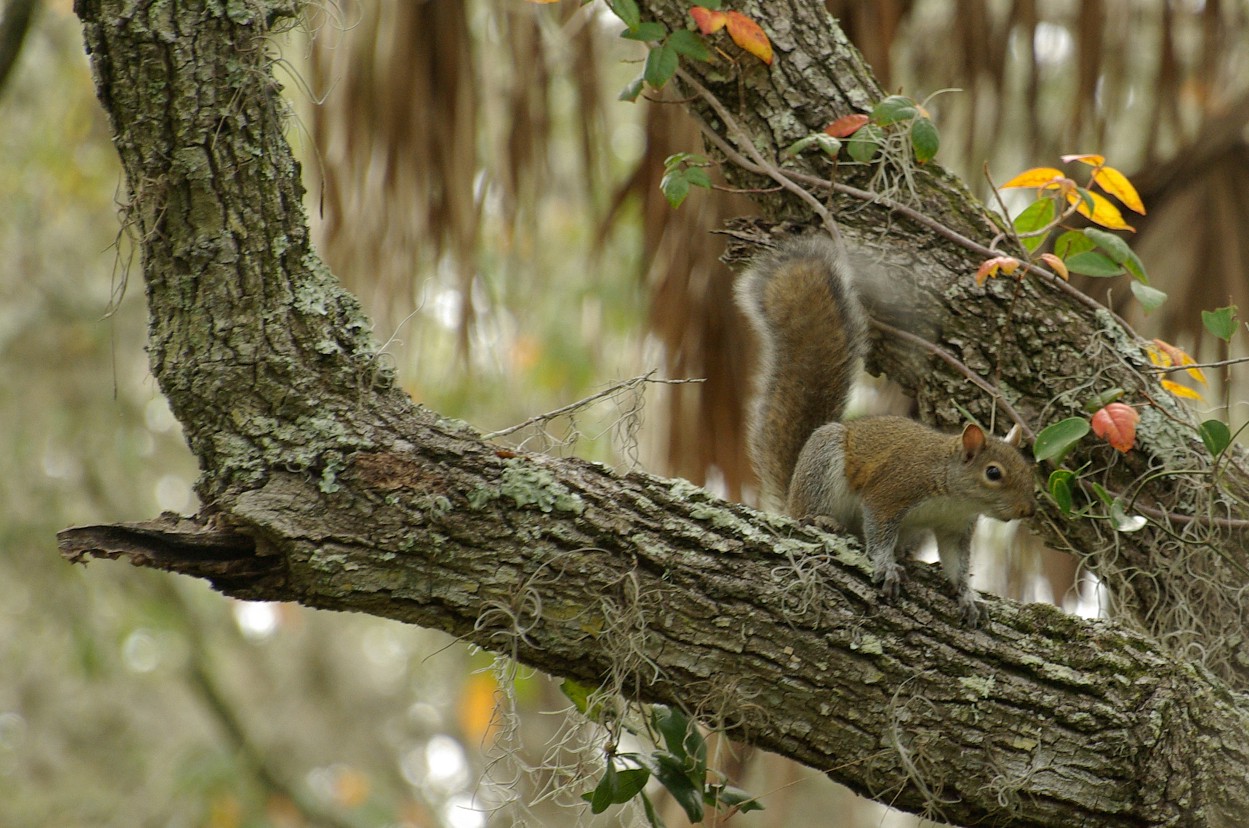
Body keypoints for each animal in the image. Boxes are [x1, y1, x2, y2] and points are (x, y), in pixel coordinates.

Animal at [735, 234, 1036, 627]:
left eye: (1028, 470)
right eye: (994, 473)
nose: (1027, 510)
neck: (952, 492)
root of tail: (791, 495)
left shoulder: (955, 527)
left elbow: (957, 563)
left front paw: (968, 596)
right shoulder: (891, 491)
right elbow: (879, 532)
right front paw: (886, 566)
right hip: (822, 468)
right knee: (811, 513)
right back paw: (823, 521)